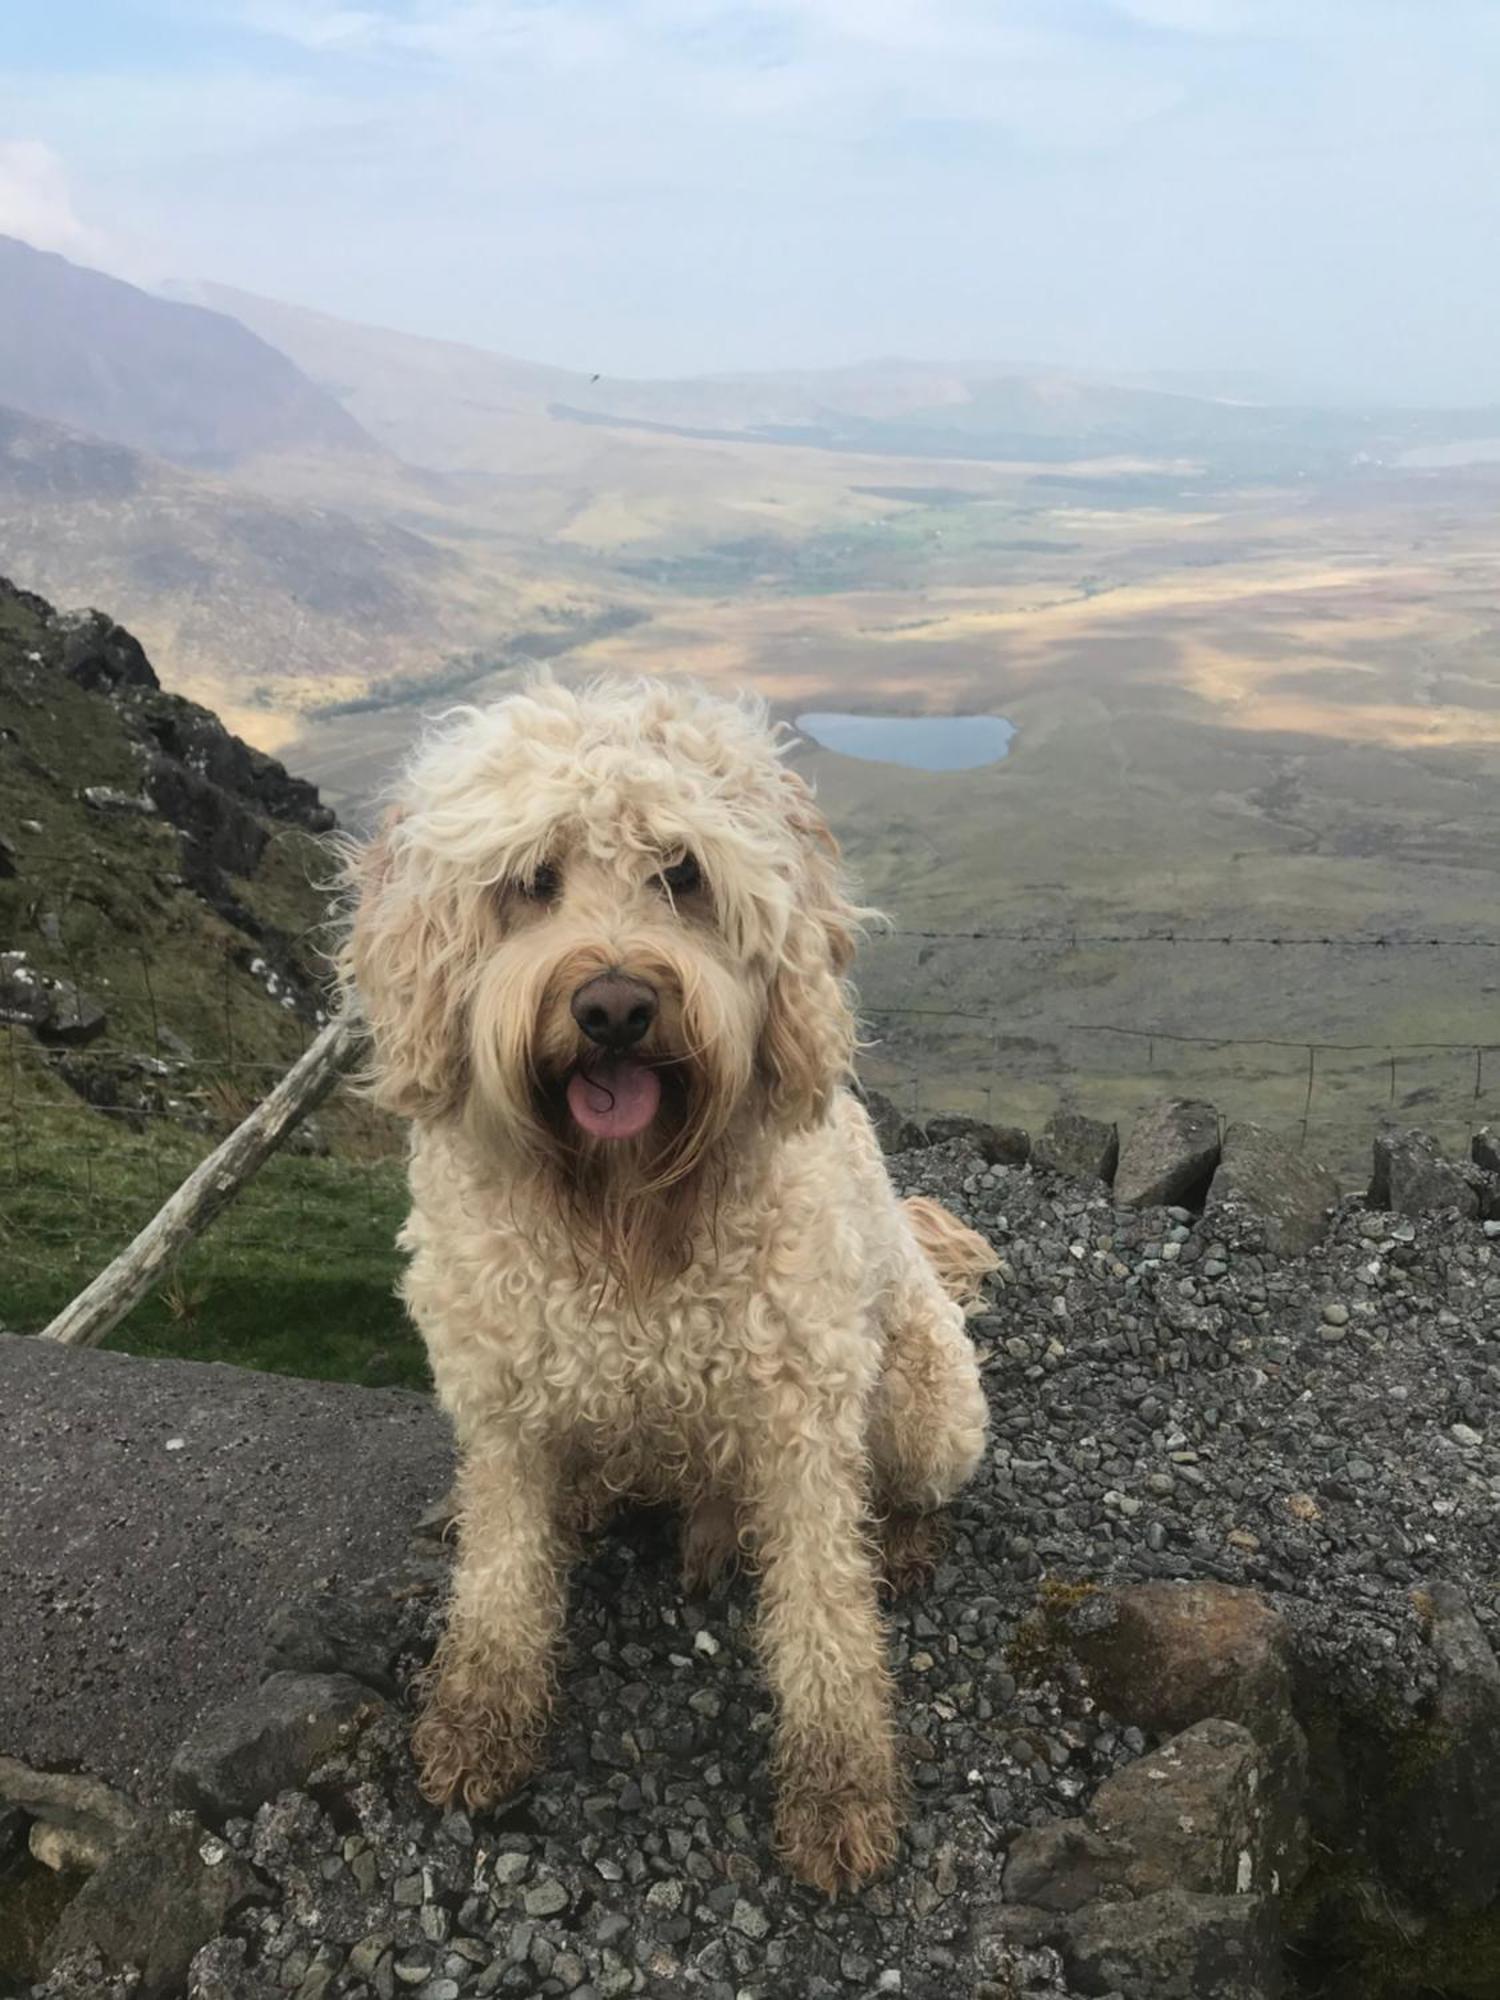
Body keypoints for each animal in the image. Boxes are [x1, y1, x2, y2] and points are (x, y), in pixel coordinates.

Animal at [346, 684, 992, 1888]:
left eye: (683, 872)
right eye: (531, 880)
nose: (611, 1005)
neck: (627, 1215)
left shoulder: (801, 1416)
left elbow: (824, 1609)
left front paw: (839, 1785)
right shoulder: (504, 1407)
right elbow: (501, 1574)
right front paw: (479, 1720)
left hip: (925, 1401)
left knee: (910, 1492)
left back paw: (900, 1540)